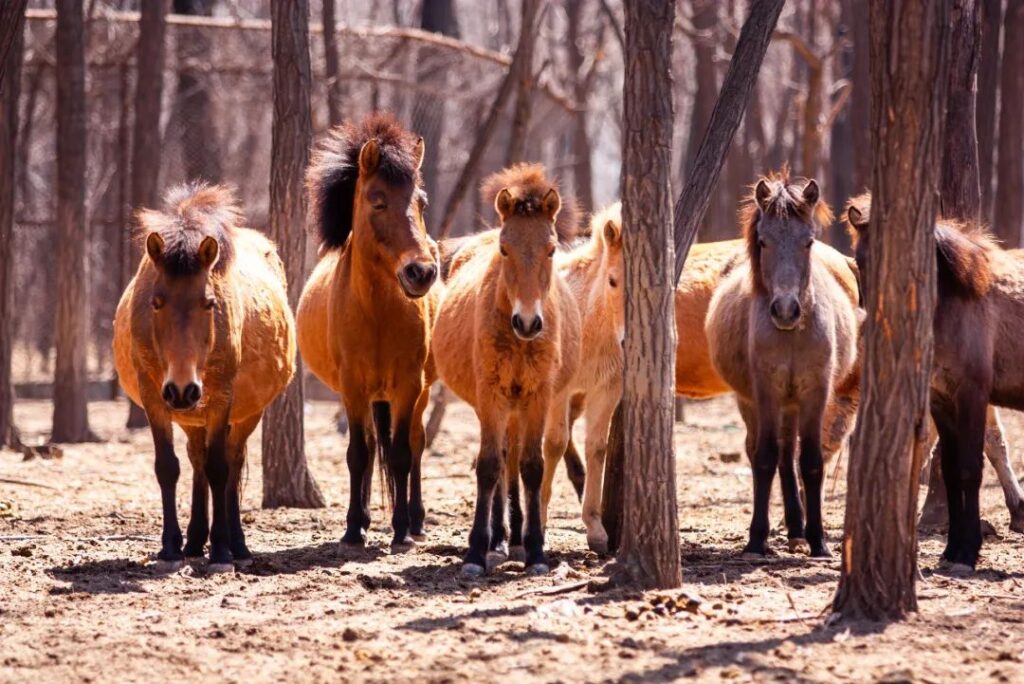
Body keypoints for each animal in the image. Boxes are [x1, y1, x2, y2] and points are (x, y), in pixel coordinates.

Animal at [113, 183, 296, 573]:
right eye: (156, 302)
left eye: (209, 302)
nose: (182, 390)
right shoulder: (154, 398)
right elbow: (168, 467)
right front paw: (170, 547)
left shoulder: (222, 398)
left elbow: (219, 469)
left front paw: (223, 551)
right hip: (191, 415)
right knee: (196, 459)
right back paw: (196, 540)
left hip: (245, 413)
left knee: (231, 463)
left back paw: (235, 543)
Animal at [296, 113, 440, 548]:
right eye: (378, 200)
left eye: (421, 202)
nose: (421, 272)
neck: (376, 312)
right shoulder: (352, 386)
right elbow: (359, 453)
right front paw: (353, 527)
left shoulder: (409, 385)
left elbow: (402, 454)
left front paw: (401, 530)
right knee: (374, 445)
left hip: (417, 393)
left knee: (415, 443)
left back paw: (416, 520)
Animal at [430, 165, 581, 577]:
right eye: (504, 248)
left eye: (550, 249)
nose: (527, 322)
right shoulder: (491, 394)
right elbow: (487, 465)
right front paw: (475, 552)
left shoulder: (538, 395)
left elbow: (531, 466)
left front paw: (535, 550)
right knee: (500, 461)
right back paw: (497, 537)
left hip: (518, 406)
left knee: (512, 462)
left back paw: (512, 538)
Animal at [704, 169, 856, 557]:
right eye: (763, 241)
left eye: (809, 241)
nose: (786, 310)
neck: (792, 334)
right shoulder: (767, 393)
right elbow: (765, 457)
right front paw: (757, 538)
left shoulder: (816, 392)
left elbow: (811, 462)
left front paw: (818, 539)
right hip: (755, 403)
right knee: (771, 453)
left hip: (793, 403)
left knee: (791, 456)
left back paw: (797, 527)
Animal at [843, 192, 1024, 565]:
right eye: (861, 259)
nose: (871, 327)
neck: (955, 302)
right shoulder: (941, 399)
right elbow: (952, 472)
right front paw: (954, 548)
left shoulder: (972, 395)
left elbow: (970, 468)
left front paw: (968, 551)